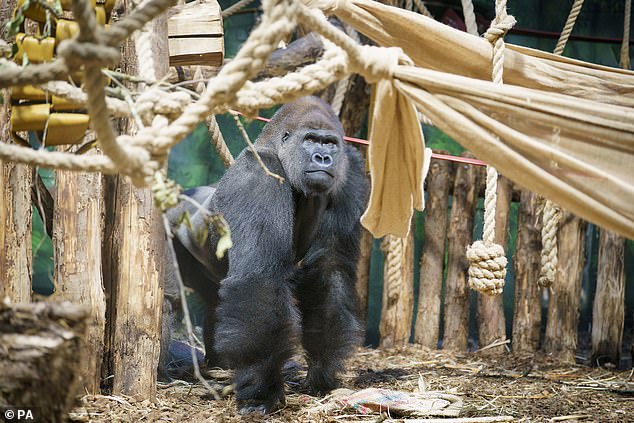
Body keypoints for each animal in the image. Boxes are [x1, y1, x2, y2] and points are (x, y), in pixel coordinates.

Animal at [163, 95, 368, 414]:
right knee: (169, 298)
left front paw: (323, 368)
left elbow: (329, 267)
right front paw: (263, 389)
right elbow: (259, 276)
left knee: (215, 301)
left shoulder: (351, 171)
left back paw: (219, 365)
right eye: (311, 140)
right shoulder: (259, 173)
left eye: (330, 143)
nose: (324, 158)